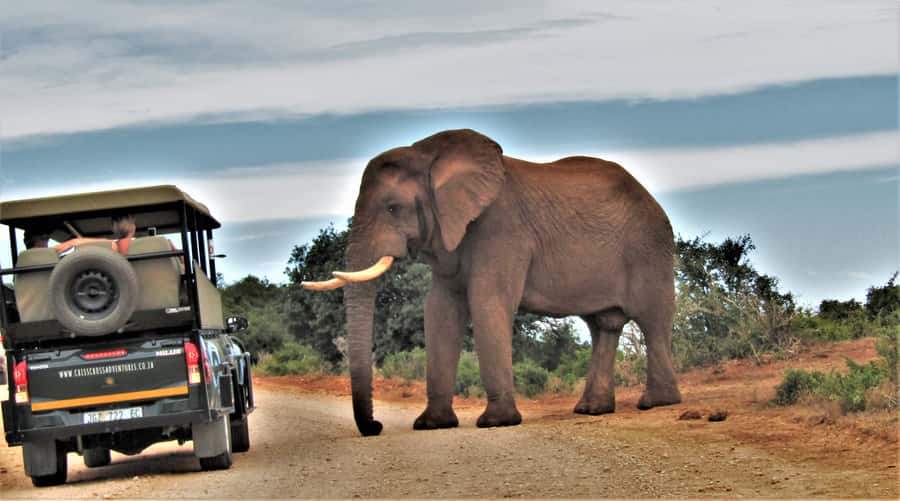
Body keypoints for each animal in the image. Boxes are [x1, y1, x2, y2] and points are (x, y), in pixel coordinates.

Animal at [303, 129, 682, 436]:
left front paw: (496, 422)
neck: (428, 156)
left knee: (652, 320)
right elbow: (440, 310)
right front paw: (431, 425)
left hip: (650, 247)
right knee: (604, 325)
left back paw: (657, 403)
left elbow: (488, 302)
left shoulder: (502, 228)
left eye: (394, 208)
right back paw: (591, 410)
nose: (376, 426)